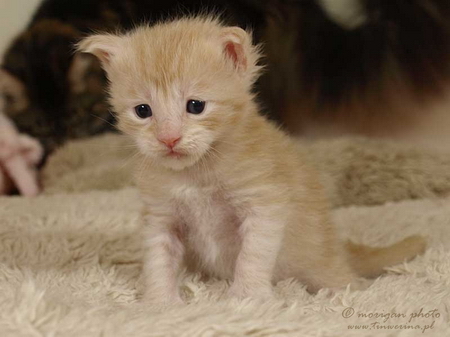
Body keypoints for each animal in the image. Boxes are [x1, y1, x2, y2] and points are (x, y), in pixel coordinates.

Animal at [79, 17, 428, 304]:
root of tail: (338, 246)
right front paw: (161, 303)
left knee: (340, 277)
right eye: (142, 111)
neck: (197, 172)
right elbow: (158, 260)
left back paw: (344, 291)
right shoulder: (161, 216)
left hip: (321, 262)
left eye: (196, 106)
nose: (168, 139)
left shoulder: (264, 203)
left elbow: (252, 254)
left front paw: (245, 298)